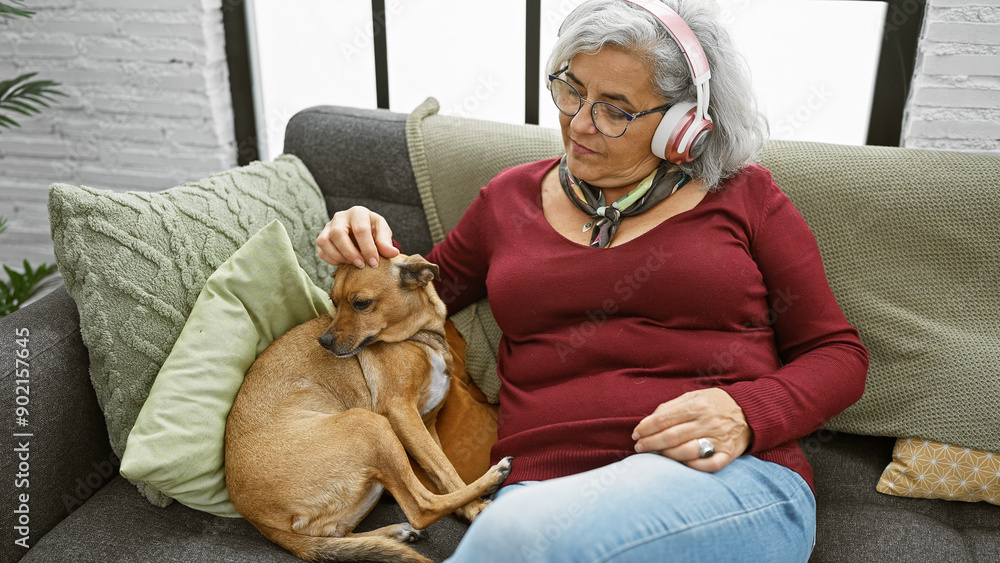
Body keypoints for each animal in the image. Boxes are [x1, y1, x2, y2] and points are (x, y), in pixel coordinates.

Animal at [224, 256, 512, 563]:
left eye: (361, 303)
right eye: (333, 300)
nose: (324, 342)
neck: (420, 337)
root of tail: (258, 521)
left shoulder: (426, 425)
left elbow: (443, 470)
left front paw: (471, 511)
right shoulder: (400, 411)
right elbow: (447, 472)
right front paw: (478, 508)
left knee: (336, 533)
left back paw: (395, 533)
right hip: (369, 423)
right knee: (423, 506)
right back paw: (493, 476)